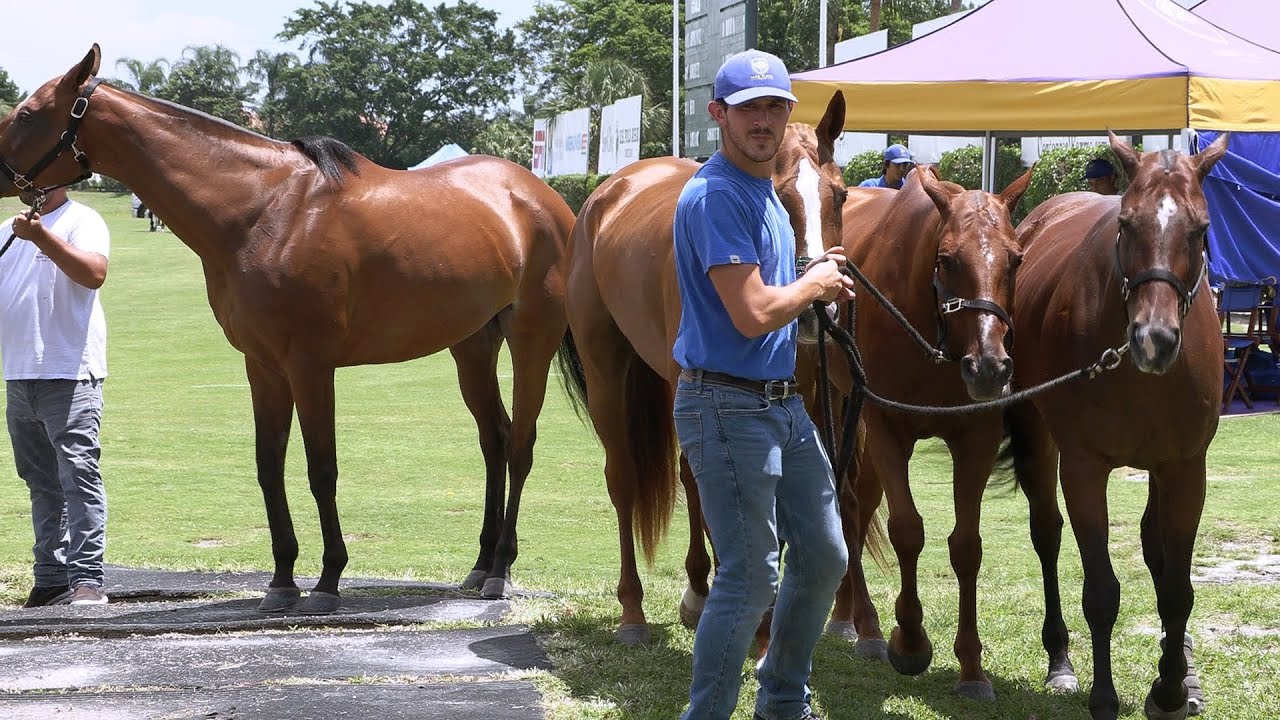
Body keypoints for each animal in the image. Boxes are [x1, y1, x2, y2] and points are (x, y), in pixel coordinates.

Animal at [0, 45, 575, 613]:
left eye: (28, 114)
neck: (262, 212)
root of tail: (541, 197)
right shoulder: (263, 366)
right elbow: (267, 465)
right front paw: (280, 580)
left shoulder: (311, 366)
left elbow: (322, 468)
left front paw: (327, 580)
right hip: (472, 345)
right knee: (495, 438)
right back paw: (479, 565)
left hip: (531, 340)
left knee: (521, 444)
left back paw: (500, 570)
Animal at [814, 165, 1037, 700]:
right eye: (947, 260)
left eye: (1016, 259)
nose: (990, 367)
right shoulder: (887, 427)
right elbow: (907, 530)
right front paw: (910, 642)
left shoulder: (976, 436)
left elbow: (967, 546)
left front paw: (972, 667)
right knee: (845, 502)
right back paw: (866, 624)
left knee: (857, 504)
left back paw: (851, 618)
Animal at [1003, 131, 1228, 720]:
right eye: (1126, 223)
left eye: (1201, 229)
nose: (1154, 337)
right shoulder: (1084, 468)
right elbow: (1101, 592)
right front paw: (1104, 695)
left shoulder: (1184, 468)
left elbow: (1176, 588)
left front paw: (1172, 687)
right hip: (1035, 439)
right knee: (1047, 535)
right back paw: (1060, 659)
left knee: (1155, 550)